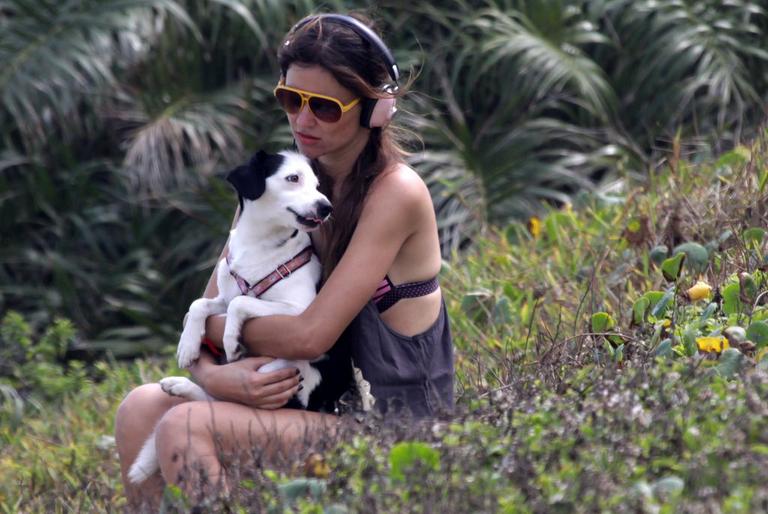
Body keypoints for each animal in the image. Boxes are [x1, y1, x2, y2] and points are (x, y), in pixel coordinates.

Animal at [128, 150, 352, 482]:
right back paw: (178, 385)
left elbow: (241, 303)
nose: (326, 208)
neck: (261, 243)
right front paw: (188, 346)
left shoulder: (300, 312)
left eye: (317, 184)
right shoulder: (223, 295)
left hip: (283, 372)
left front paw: (232, 340)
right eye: (293, 178)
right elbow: (200, 304)